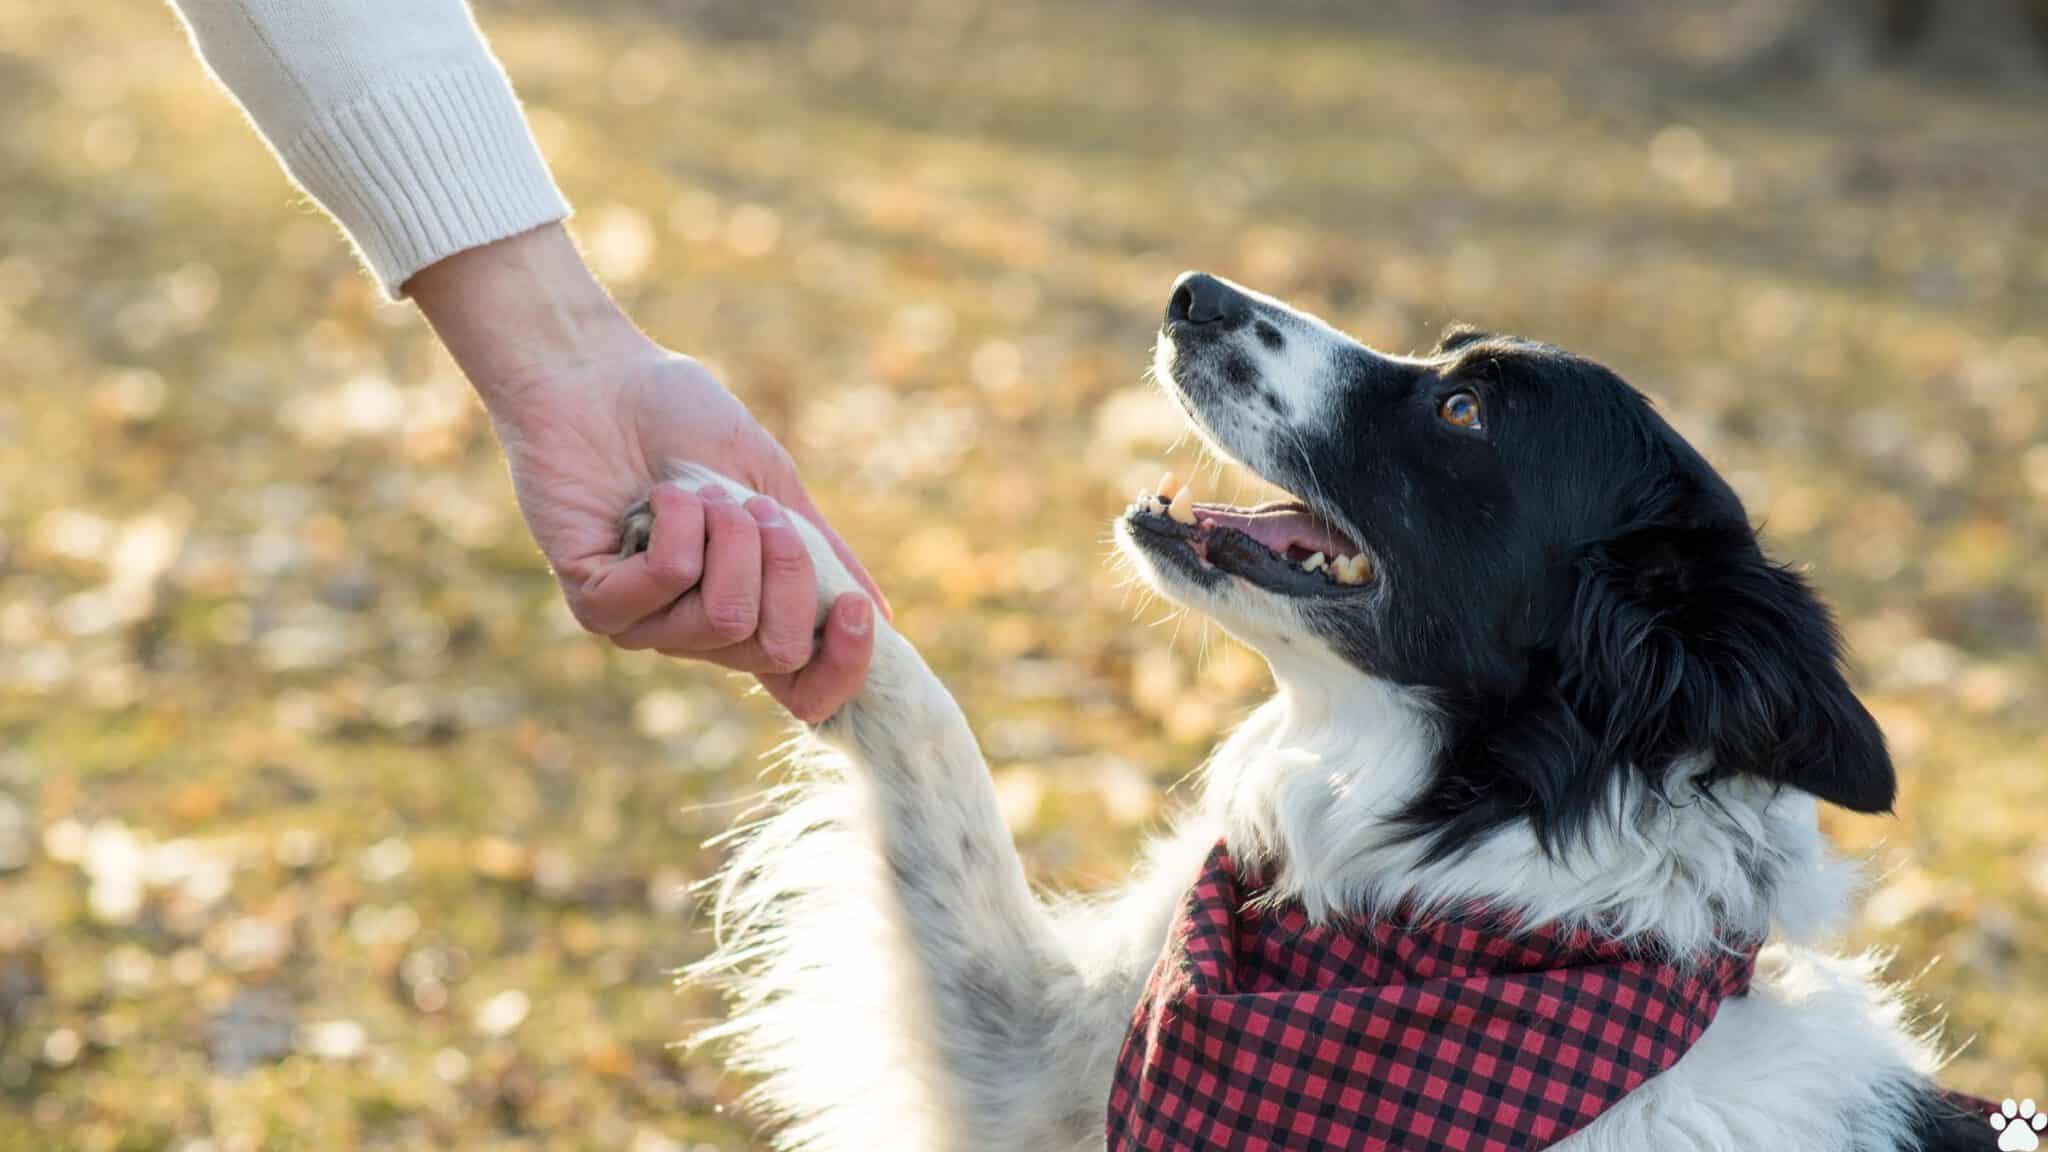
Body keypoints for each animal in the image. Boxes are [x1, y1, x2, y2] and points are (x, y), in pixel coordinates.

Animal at [626, 270, 1998, 1147]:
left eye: (1462, 409)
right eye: (1445, 355)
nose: (1190, 292)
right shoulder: (1031, 1061)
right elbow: (932, 747)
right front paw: (752, 534)